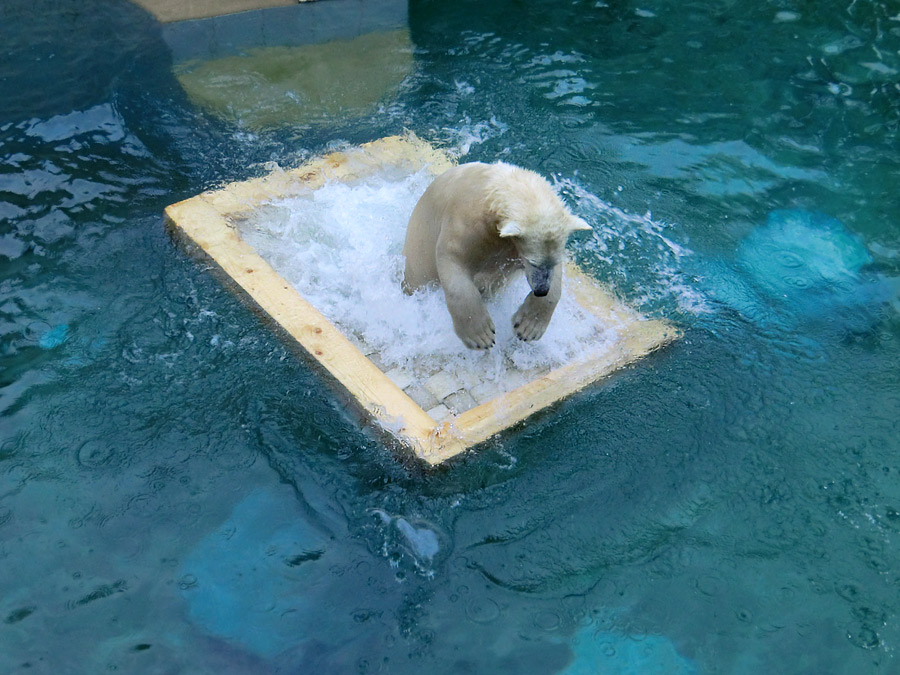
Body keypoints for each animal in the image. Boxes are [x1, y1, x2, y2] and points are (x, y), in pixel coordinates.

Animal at [402, 162, 592, 348]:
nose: (541, 290)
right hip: (417, 260)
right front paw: (481, 336)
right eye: (533, 261)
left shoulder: (513, 247)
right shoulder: (465, 224)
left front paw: (528, 328)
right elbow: (453, 261)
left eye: (553, 261)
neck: (493, 187)